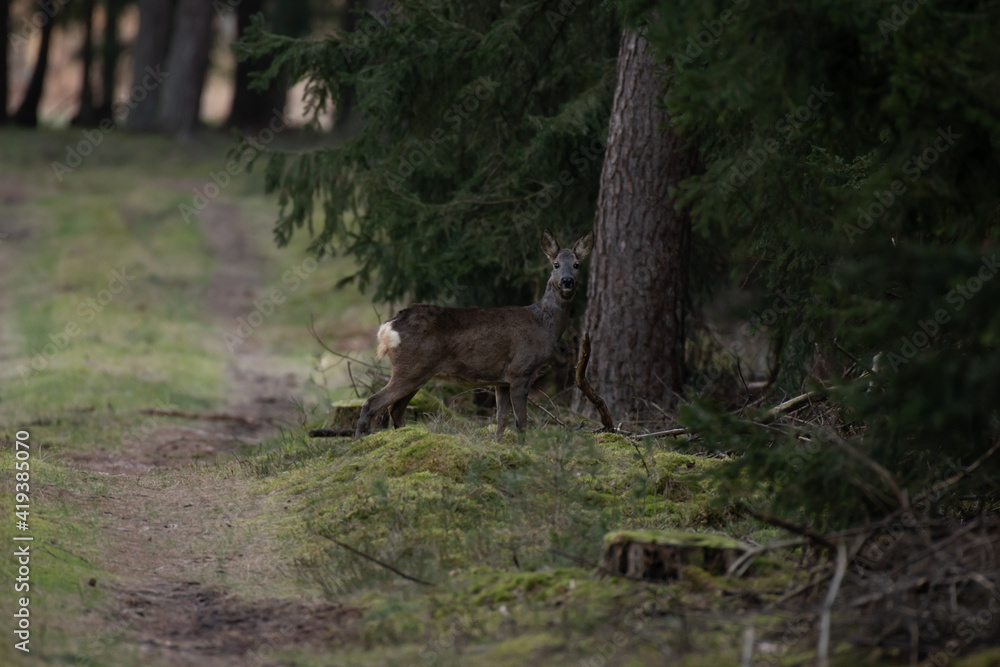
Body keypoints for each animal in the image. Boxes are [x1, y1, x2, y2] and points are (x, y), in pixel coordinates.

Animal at [355, 228, 594, 439]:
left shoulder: (502, 380)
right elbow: (521, 422)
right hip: (411, 367)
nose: (567, 281)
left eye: (576, 265)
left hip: (418, 371)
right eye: (556, 264)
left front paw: (499, 445)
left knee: (395, 409)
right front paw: (523, 447)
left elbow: (501, 419)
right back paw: (360, 441)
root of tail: (389, 326)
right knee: (371, 403)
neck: (544, 325)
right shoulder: (521, 370)